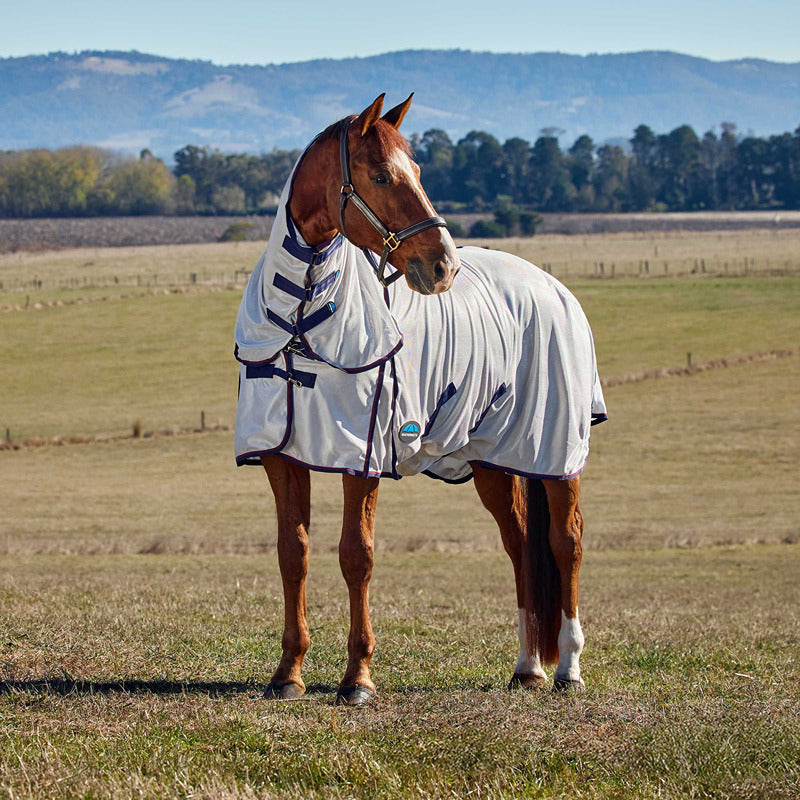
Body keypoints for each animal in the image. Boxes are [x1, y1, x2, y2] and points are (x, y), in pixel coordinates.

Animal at [233, 94, 606, 706]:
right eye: (382, 175)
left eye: (418, 171)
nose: (443, 266)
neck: (302, 319)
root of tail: (553, 288)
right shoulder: (282, 457)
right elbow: (295, 555)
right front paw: (288, 672)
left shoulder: (360, 458)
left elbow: (356, 556)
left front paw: (358, 678)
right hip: (493, 460)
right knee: (520, 545)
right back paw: (528, 666)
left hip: (556, 454)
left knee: (565, 542)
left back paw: (569, 668)